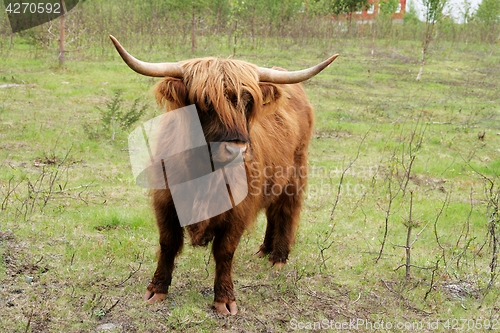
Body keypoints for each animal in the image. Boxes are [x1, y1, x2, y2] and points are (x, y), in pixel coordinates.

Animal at [109, 36, 336, 314]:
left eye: (248, 103)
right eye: (204, 102)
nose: (236, 149)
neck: (203, 173)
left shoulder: (238, 209)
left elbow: (225, 250)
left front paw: (225, 299)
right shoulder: (165, 201)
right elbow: (168, 242)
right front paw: (157, 289)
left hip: (295, 174)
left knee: (286, 210)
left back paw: (278, 257)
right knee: (272, 211)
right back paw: (264, 250)